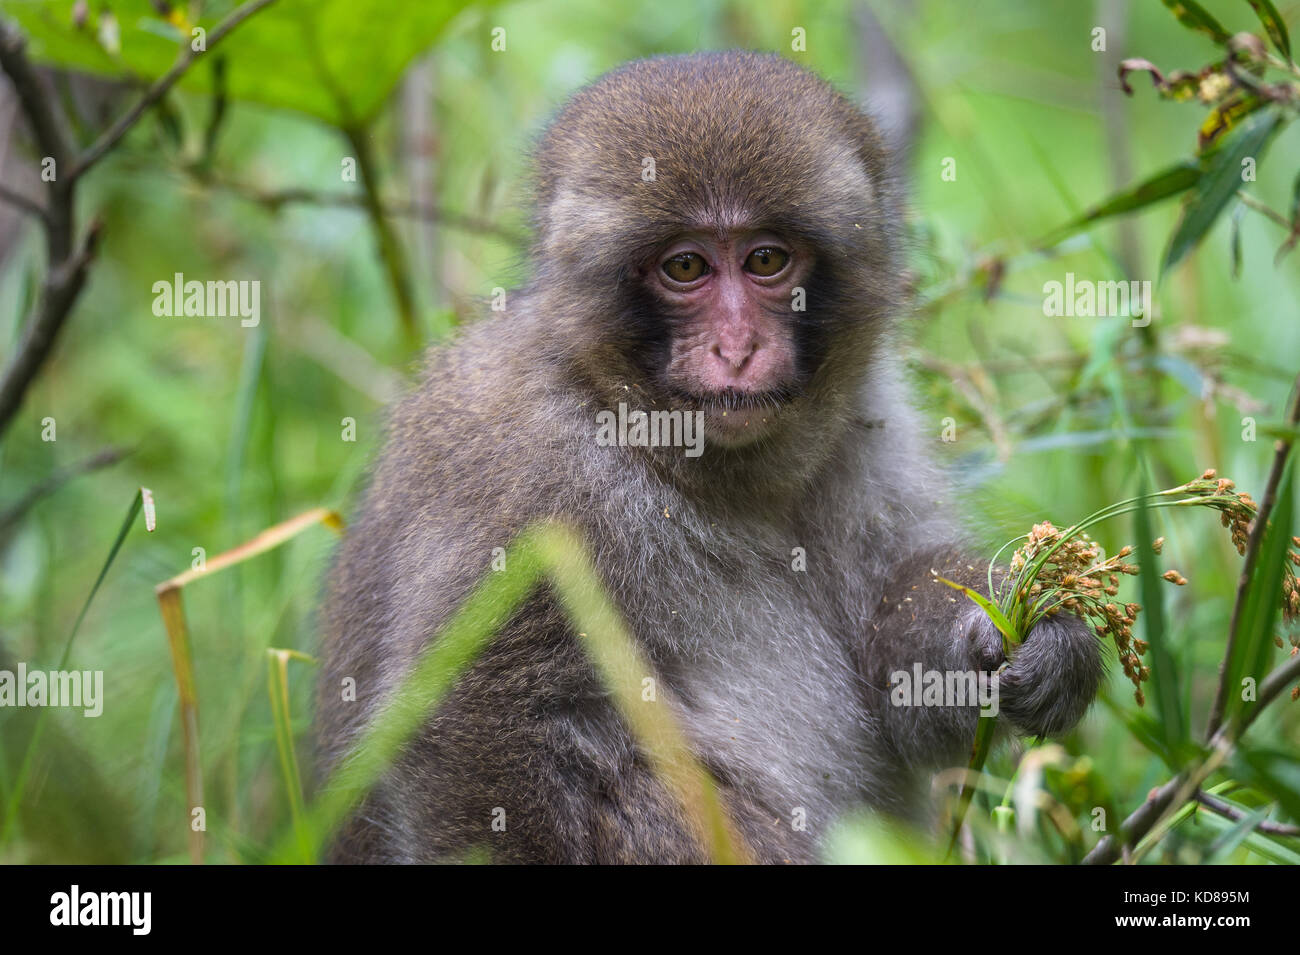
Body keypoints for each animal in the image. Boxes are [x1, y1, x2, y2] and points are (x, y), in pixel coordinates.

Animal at [316, 51, 1104, 864]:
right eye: (686, 267)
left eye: (766, 259)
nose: (738, 348)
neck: (649, 434)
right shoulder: (523, 478)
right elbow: (471, 730)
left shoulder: (869, 420)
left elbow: (896, 650)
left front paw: (1024, 631)